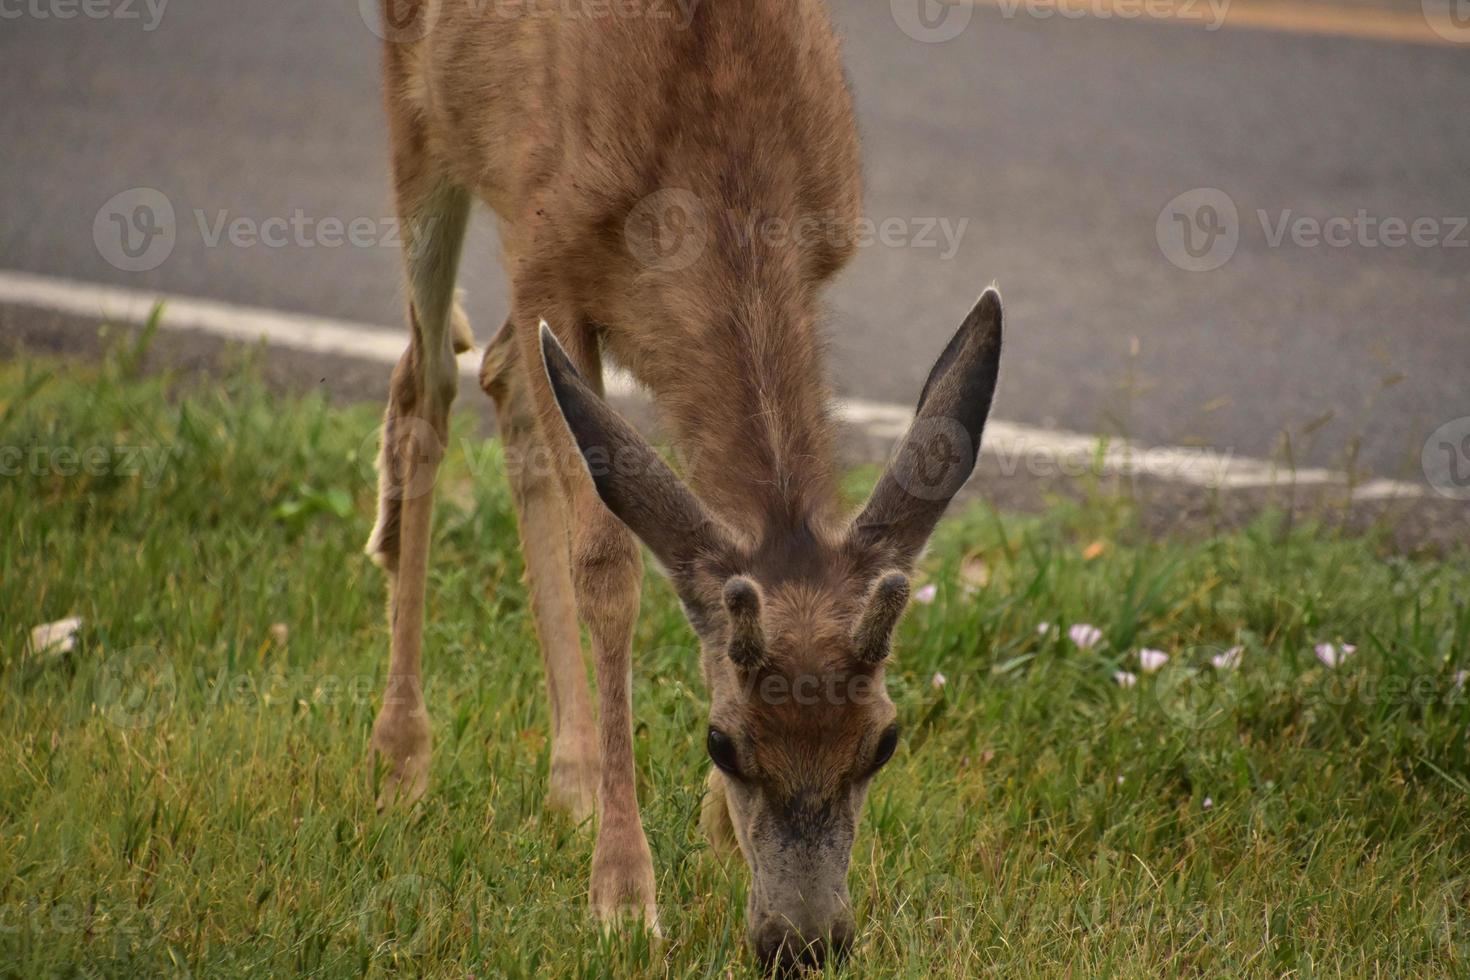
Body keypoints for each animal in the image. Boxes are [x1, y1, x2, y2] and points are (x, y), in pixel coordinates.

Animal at [363, 0, 1005, 963]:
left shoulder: (819, 248)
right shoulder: (547, 248)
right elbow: (608, 566)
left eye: (885, 741)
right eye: (721, 741)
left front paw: (709, 836)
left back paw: (572, 775)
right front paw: (624, 895)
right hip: (423, 126)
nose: (802, 943)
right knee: (427, 379)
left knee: (505, 374)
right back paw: (402, 754)